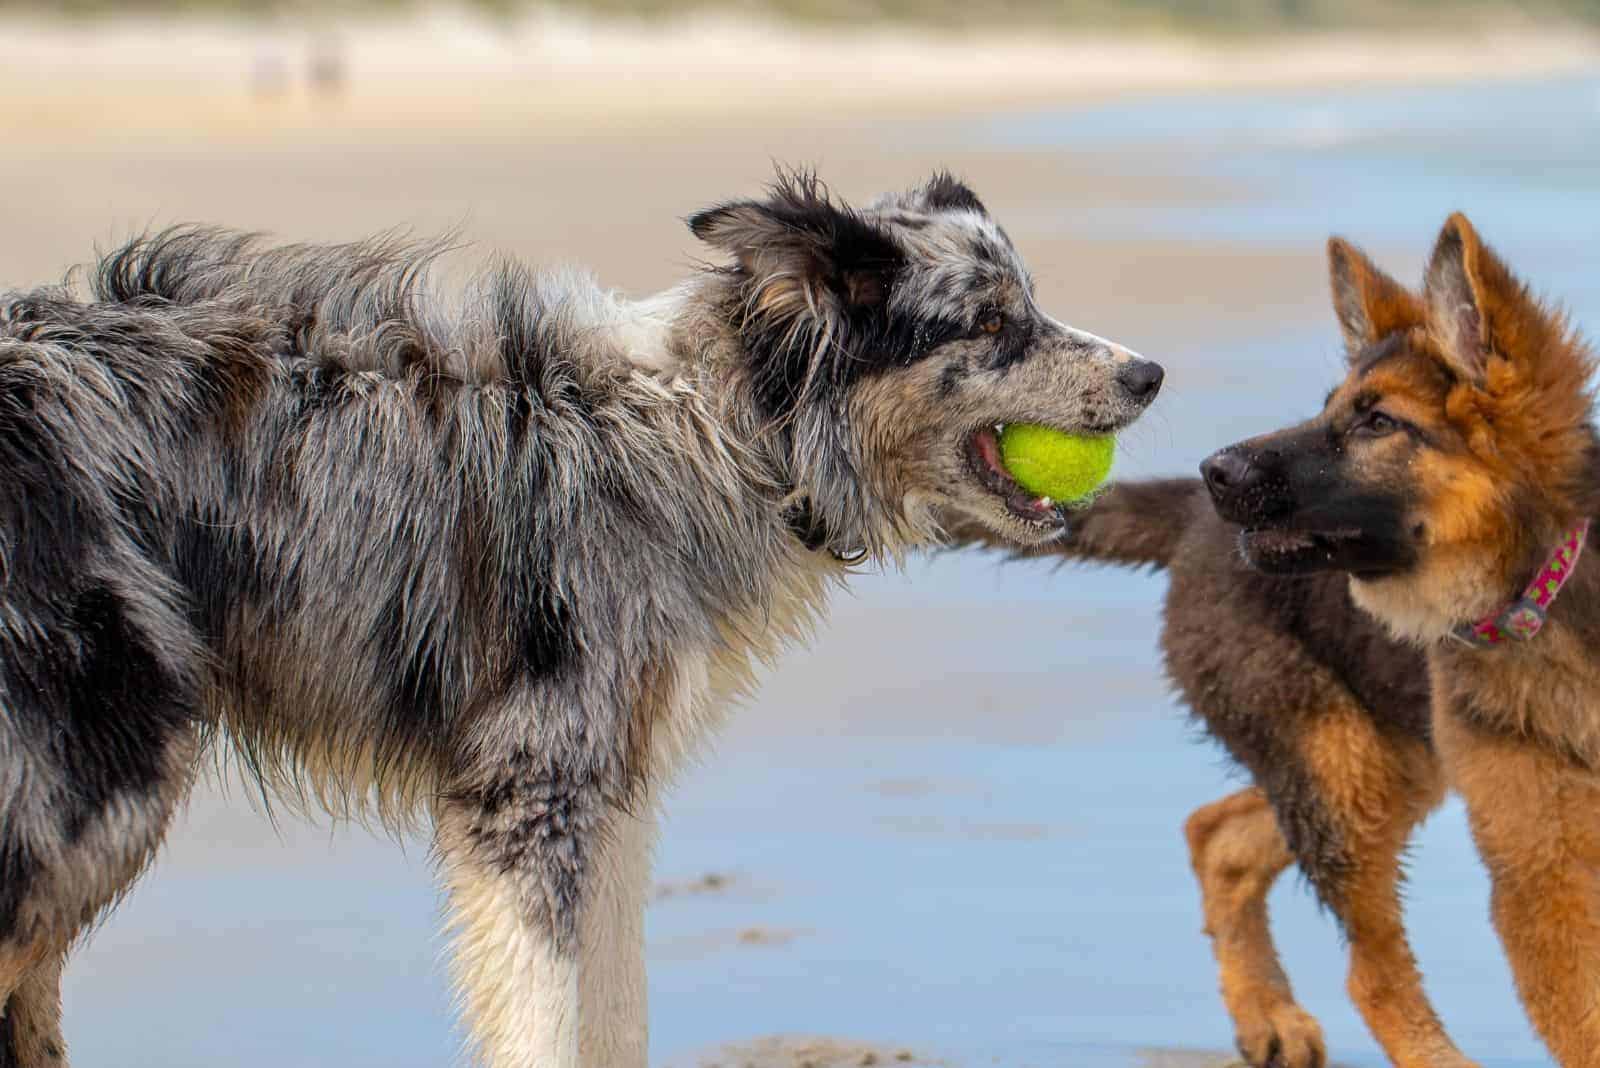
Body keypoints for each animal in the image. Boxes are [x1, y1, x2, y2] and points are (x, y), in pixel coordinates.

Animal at [0, 175, 1158, 1068]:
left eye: (1029, 302)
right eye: (992, 323)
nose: (1150, 373)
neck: (727, 432)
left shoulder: (611, 794)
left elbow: (613, 1016)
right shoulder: (536, 783)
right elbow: (553, 1023)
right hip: (97, 779)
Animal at [1203, 212, 1600, 1061]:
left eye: (1378, 422)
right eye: (1331, 408)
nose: (1213, 471)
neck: (1547, 584)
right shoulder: (1541, 873)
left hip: (1386, 762)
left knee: (1218, 832)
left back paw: (1265, 1015)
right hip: (1348, 772)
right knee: (1371, 973)